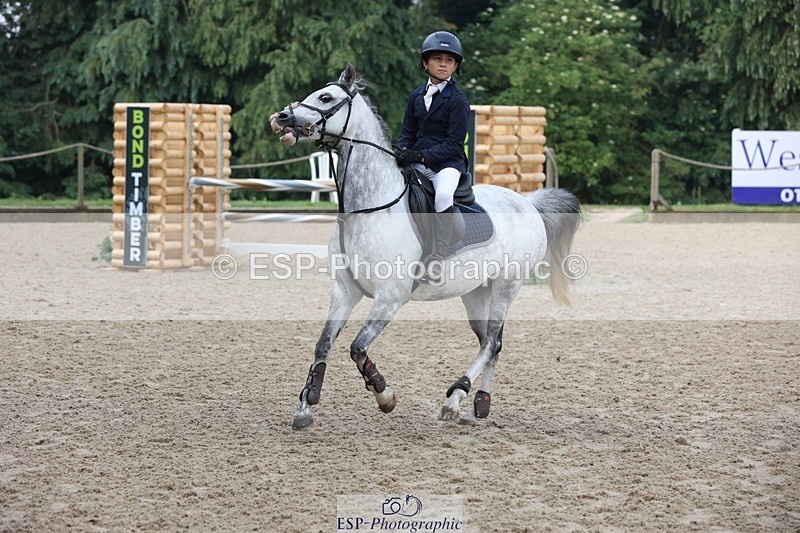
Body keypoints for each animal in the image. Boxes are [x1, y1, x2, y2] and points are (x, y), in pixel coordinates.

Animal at [269, 63, 582, 430]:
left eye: (325, 97)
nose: (282, 118)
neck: (368, 208)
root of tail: (529, 203)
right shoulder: (345, 290)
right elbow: (323, 345)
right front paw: (305, 408)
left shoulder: (391, 297)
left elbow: (358, 348)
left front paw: (384, 395)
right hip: (476, 291)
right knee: (491, 342)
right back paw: (478, 404)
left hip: (508, 285)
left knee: (491, 342)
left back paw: (455, 399)